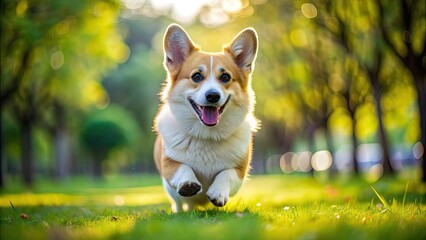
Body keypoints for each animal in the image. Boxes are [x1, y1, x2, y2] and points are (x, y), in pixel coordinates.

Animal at [154, 24, 258, 212]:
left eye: (225, 77)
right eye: (196, 76)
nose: (212, 96)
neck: (207, 134)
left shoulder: (239, 171)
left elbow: (226, 174)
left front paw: (218, 192)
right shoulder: (168, 164)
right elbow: (183, 167)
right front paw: (188, 183)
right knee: (179, 204)